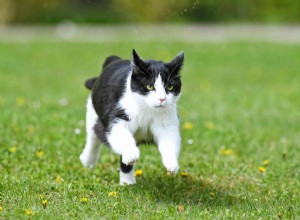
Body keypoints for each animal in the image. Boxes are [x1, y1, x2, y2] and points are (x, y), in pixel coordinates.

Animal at [78, 49, 184, 185]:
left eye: (170, 87)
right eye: (150, 86)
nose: (162, 99)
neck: (147, 109)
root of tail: (113, 59)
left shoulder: (167, 123)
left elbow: (170, 141)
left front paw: (172, 164)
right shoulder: (119, 117)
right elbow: (122, 136)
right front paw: (131, 154)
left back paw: (127, 183)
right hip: (93, 110)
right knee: (93, 133)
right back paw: (88, 160)